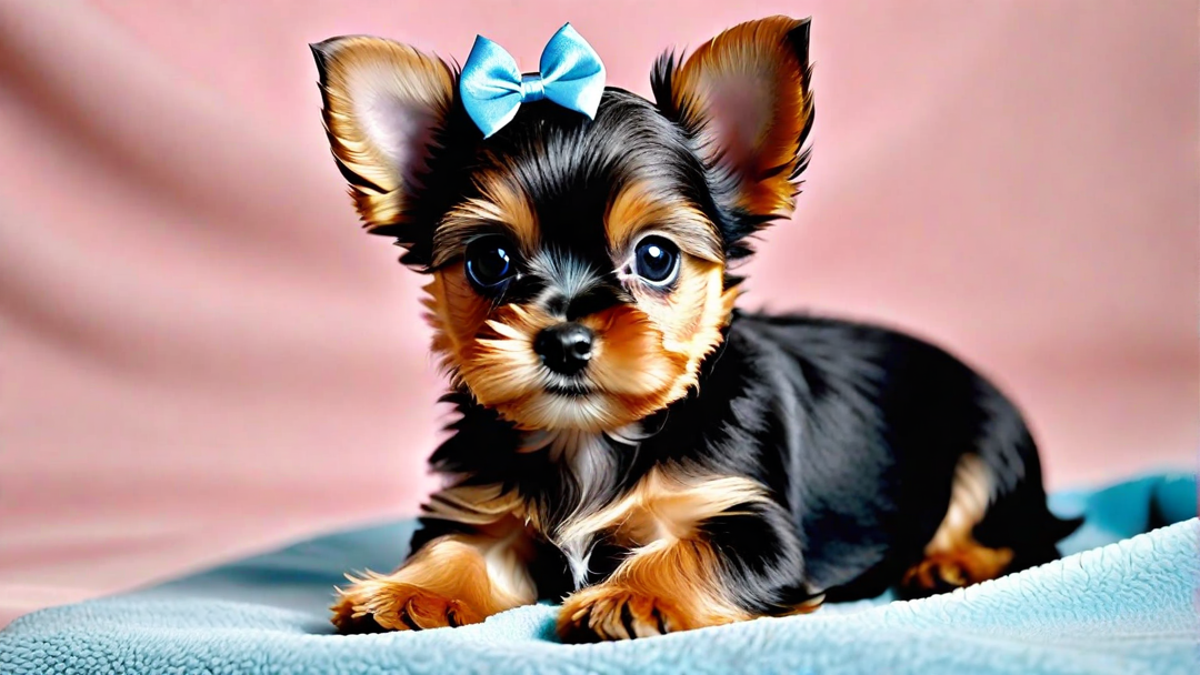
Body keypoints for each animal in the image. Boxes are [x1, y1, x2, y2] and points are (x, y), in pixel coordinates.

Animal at [309, 13, 1080, 638]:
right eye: (489, 261)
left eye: (655, 258)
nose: (564, 340)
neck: (592, 443)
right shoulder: (487, 509)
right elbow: (461, 546)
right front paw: (406, 592)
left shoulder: (749, 521)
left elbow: (689, 547)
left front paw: (631, 597)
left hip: (991, 446)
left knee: (1016, 532)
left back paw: (950, 562)